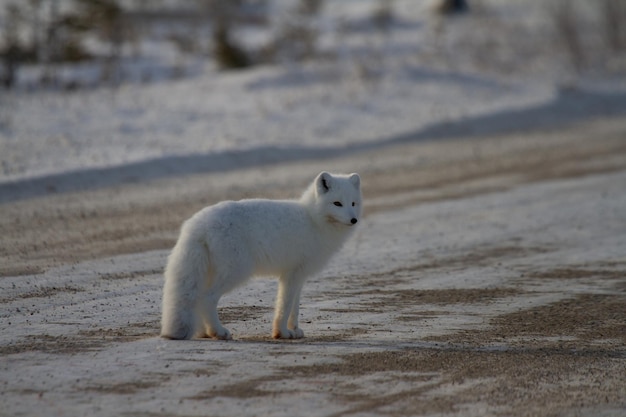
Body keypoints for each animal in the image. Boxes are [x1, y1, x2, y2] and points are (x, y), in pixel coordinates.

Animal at [160, 171, 360, 340]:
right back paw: (218, 332)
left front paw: (294, 330)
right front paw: (282, 333)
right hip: (236, 271)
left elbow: (294, 308)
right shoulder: (292, 275)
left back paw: (204, 332)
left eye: (353, 203)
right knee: (206, 298)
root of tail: (197, 224)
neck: (313, 219)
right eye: (337, 203)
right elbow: (285, 306)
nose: (354, 220)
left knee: (198, 300)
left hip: (211, 273)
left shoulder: (297, 276)